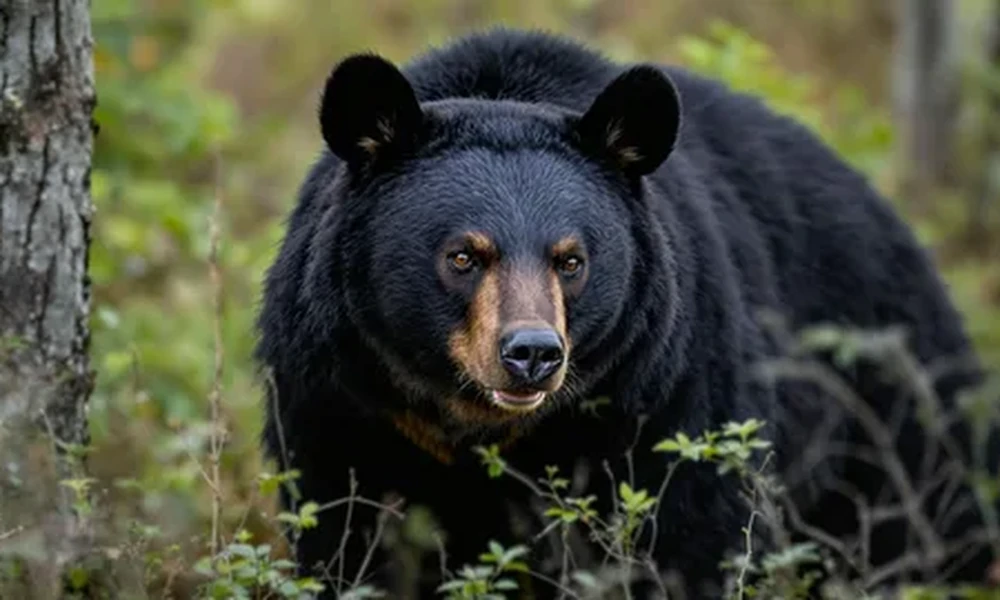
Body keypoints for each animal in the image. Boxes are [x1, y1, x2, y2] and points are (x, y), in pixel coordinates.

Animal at [254, 27, 998, 599]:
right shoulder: (337, 394)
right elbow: (345, 536)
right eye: (462, 256)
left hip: (892, 414)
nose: (532, 354)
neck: (479, 424)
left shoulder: (668, 384)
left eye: (571, 260)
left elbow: (692, 530)